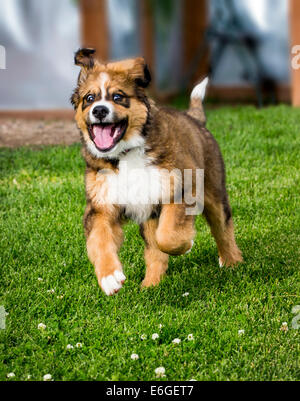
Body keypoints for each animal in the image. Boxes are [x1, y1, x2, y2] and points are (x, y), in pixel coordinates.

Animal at [71, 48, 243, 296]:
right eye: (89, 99)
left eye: (118, 97)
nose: (100, 111)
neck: (126, 154)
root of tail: (195, 119)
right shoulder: (100, 207)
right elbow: (98, 240)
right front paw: (109, 277)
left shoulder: (179, 189)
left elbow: (168, 235)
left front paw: (186, 245)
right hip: (149, 214)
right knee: (153, 251)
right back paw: (151, 285)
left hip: (213, 189)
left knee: (223, 227)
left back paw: (232, 262)